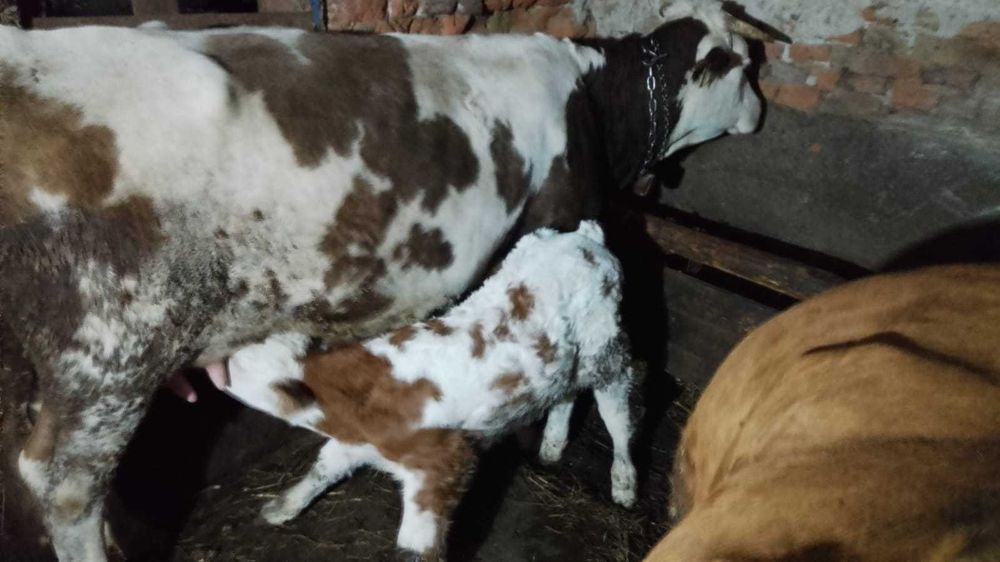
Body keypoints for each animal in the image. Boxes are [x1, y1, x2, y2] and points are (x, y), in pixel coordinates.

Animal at [223, 221, 635, 560]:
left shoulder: (442, 463)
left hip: (605, 348)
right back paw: (552, 445)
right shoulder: (357, 441)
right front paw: (282, 506)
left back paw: (624, 481)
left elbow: (417, 546)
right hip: (568, 362)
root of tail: (584, 236)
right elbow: (323, 467)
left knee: (617, 407)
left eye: (232, 360)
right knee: (567, 393)